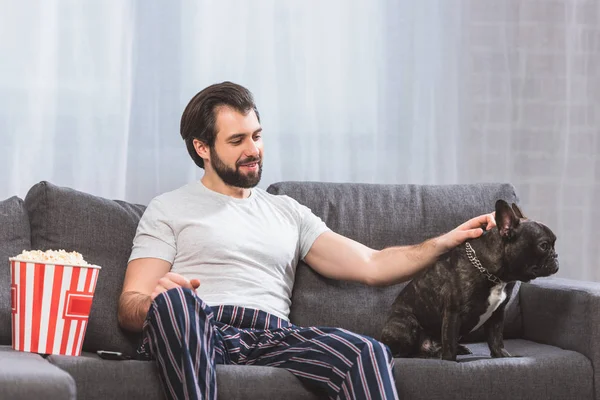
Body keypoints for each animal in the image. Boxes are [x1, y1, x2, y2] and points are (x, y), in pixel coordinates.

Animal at [382, 202, 560, 360]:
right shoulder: (453, 313)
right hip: (406, 327)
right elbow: (449, 344)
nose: (556, 256)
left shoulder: (497, 314)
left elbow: (496, 339)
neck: (495, 276)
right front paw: (449, 361)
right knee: (405, 352)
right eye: (544, 245)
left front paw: (502, 356)